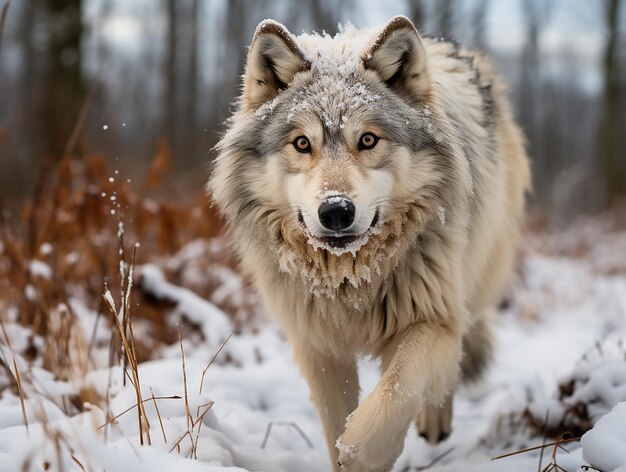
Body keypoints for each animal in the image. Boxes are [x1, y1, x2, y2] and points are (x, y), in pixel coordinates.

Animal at [208, 15, 528, 472]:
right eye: (302, 143)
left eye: (368, 140)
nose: (336, 211)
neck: (349, 280)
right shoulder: (317, 346)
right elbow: (336, 418)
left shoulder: (431, 317)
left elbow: (397, 388)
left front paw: (362, 453)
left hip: (475, 275)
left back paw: (436, 420)